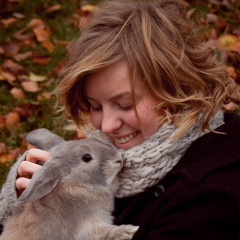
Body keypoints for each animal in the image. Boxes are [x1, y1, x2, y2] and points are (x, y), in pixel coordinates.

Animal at [0, 128, 139, 239]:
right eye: (87, 158)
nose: (118, 158)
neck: (76, 183)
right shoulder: (86, 229)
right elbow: (107, 233)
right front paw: (131, 230)